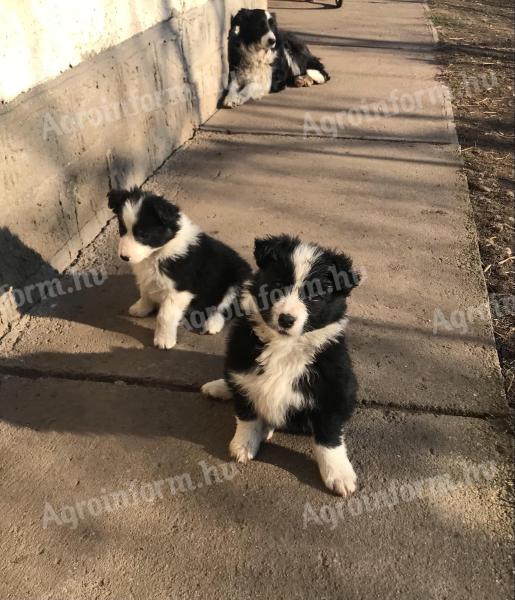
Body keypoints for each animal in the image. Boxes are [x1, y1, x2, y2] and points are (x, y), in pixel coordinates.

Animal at [108, 186, 252, 346]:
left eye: (144, 235)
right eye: (122, 229)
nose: (124, 257)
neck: (157, 253)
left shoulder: (179, 290)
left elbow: (165, 315)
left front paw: (164, 340)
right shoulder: (146, 278)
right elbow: (145, 292)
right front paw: (141, 308)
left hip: (238, 281)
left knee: (227, 307)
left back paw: (212, 324)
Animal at [204, 234, 360, 496]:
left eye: (316, 296)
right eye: (277, 285)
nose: (286, 319)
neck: (284, 347)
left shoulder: (333, 389)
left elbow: (329, 438)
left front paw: (339, 475)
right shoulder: (242, 367)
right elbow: (246, 414)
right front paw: (243, 444)